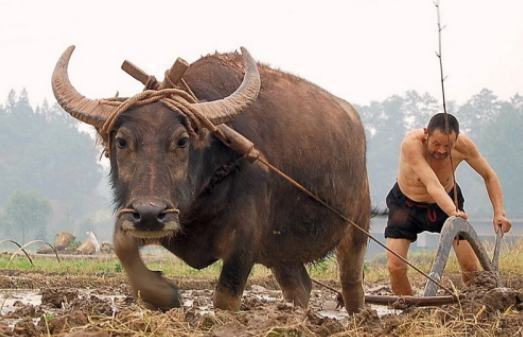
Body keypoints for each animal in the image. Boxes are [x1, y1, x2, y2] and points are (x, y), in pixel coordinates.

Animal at [51, 46, 372, 314]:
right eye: (121, 141)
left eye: (182, 141)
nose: (150, 215)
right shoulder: (147, 216)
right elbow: (122, 245)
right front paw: (162, 294)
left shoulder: (244, 241)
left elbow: (226, 296)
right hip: (282, 250)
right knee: (299, 286)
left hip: (357, 227)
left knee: (352, 282)